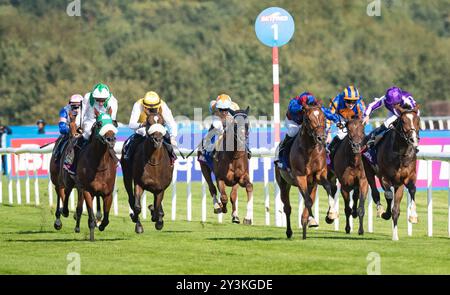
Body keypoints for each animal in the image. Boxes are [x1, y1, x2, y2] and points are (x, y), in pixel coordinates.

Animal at [274, 105, 338, 239]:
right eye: (308, 119)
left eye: (324, 117)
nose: (321, 138)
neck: (310, 150)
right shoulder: (300, 177)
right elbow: (307, 200)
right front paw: (312, 220)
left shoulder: (319, 174)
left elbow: (328, 188)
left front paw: (331, 214)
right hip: (283, 183)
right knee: (287, 207)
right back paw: (289, 231)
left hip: (312, 184)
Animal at [362, 105, 422, 242]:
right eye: (403, 121)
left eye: (417, 120)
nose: (413, 139)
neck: (400, 153)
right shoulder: (385, 177)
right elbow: (388, 195)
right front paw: (385, 214)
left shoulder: (407, 178)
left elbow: (411, 191)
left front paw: (413, 216)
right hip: (368, 170)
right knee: (376, 192)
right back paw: (380, 210)